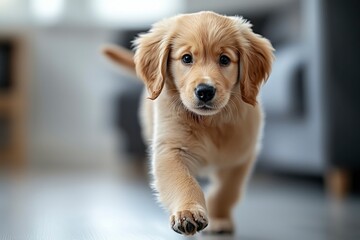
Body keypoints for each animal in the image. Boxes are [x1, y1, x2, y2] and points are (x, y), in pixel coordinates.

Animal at [102, 10, 274, 234]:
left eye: (224, 59)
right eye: (186, 58)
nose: (205, 91)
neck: (210, 122)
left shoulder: (241, 156)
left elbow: (227, 190)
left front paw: (219, 218)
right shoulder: (170, 149)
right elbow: (183, 182)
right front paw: (188, 212)